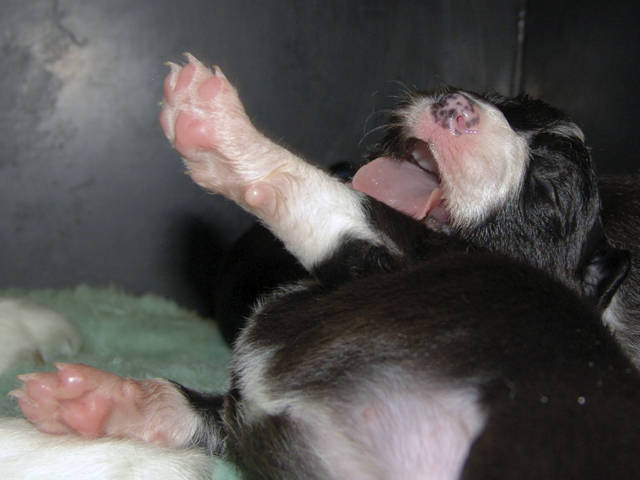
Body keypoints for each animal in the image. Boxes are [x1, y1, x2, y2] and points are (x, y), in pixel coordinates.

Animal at [10, 54, 638, 479]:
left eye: (548, 189)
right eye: (494, 97)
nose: (456, 107)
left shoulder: (398, 255)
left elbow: (332, 200)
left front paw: (223, 132)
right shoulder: (238, 427)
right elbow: (193, 413)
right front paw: (98, 401)